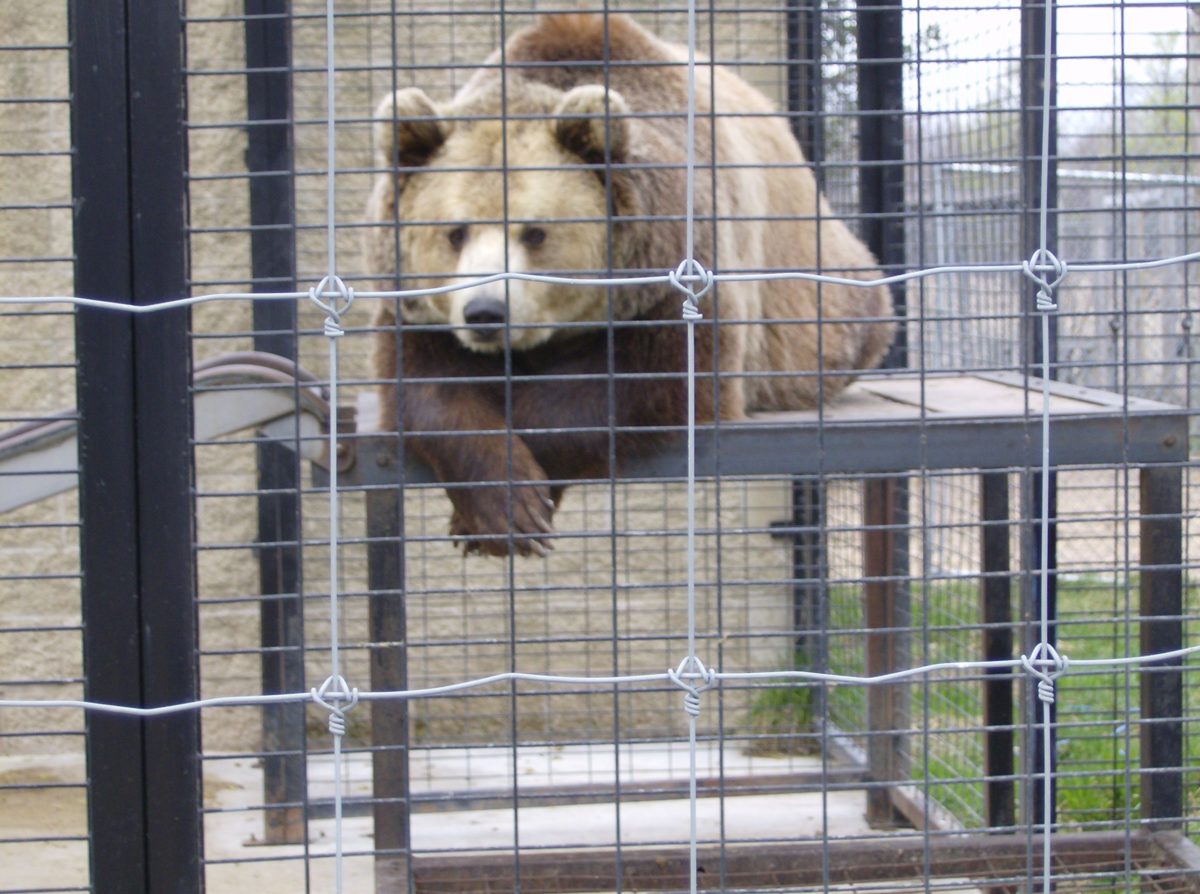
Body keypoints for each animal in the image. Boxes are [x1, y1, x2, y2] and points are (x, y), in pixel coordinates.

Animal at [364, 12, 894, 557]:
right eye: (455, 232)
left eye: (535, 232)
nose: (486, 312)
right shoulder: (417, 308)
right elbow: (428, 389)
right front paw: (495, 508)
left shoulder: (676, 277)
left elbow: (646, 386)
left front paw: (520, 503)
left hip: (825, 291)